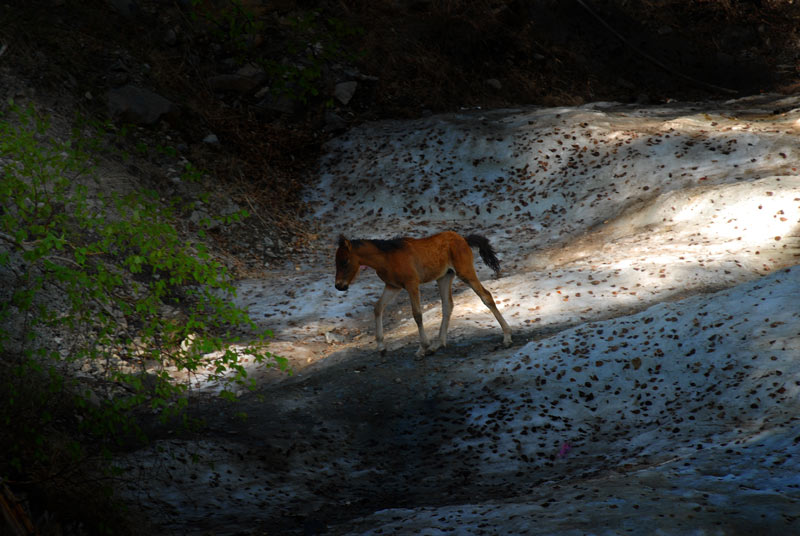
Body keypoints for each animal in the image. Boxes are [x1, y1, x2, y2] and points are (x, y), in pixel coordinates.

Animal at [332, 229, 512, 356]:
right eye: (336, 262)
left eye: (345, 261)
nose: (339, 286)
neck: (387, 258)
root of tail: (464, 239)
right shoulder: (392, 286)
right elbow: (378, 308)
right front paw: (381, 347)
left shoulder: (411, 284)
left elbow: (417, 314)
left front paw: (422, 348)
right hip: (444, 277)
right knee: (448, 305)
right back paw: (438, 344)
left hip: (465, 272)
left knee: (486, 296)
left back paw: (507, 337)